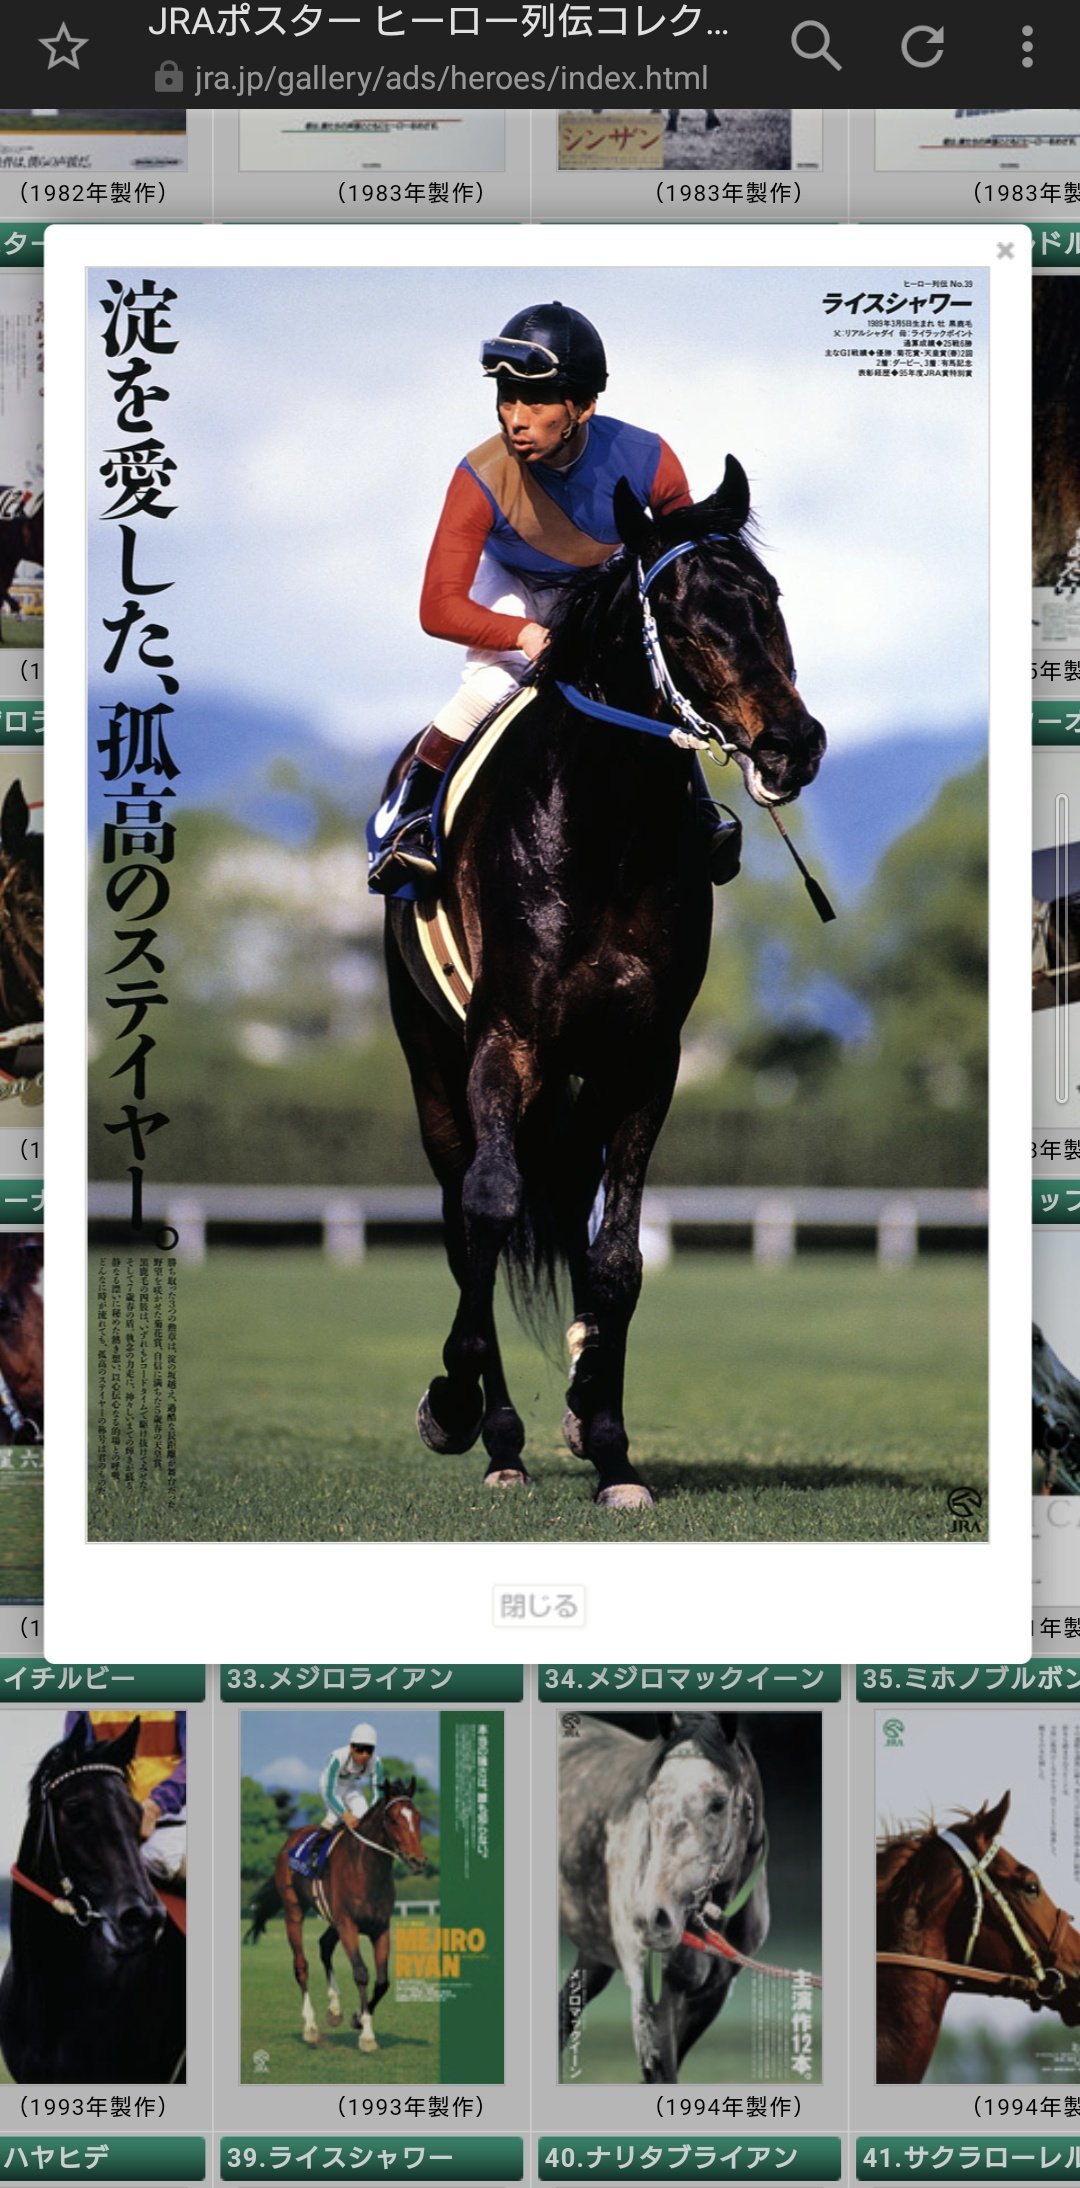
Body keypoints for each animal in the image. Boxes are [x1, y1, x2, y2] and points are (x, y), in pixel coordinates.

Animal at [245, 1778, 425, 2052]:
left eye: (418, 1817)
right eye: (394, 1820)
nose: (418, 1860)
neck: (366, 1870)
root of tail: (290, 1841)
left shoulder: (380, 1928)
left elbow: (382, 1981)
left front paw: (357, 2017)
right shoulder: (348, 1924)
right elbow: (361, 1973)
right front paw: (367, 2035)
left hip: (333, 1920)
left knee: (324, 1945)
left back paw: (334, 2009)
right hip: (294, 1911)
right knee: (301, 1965)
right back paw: (310, 2027)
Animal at [384, 457, 825, 1510]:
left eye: (768, 601)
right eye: (681, 614)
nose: (793, 744)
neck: (604, 833)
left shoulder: (644, 1054)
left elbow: (617, 1256)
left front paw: (610, 1442)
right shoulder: (507, 1038)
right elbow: (492, 1210)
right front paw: (456, 1403)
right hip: (432, 1059)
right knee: (467, 1214)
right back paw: (496, 1437)